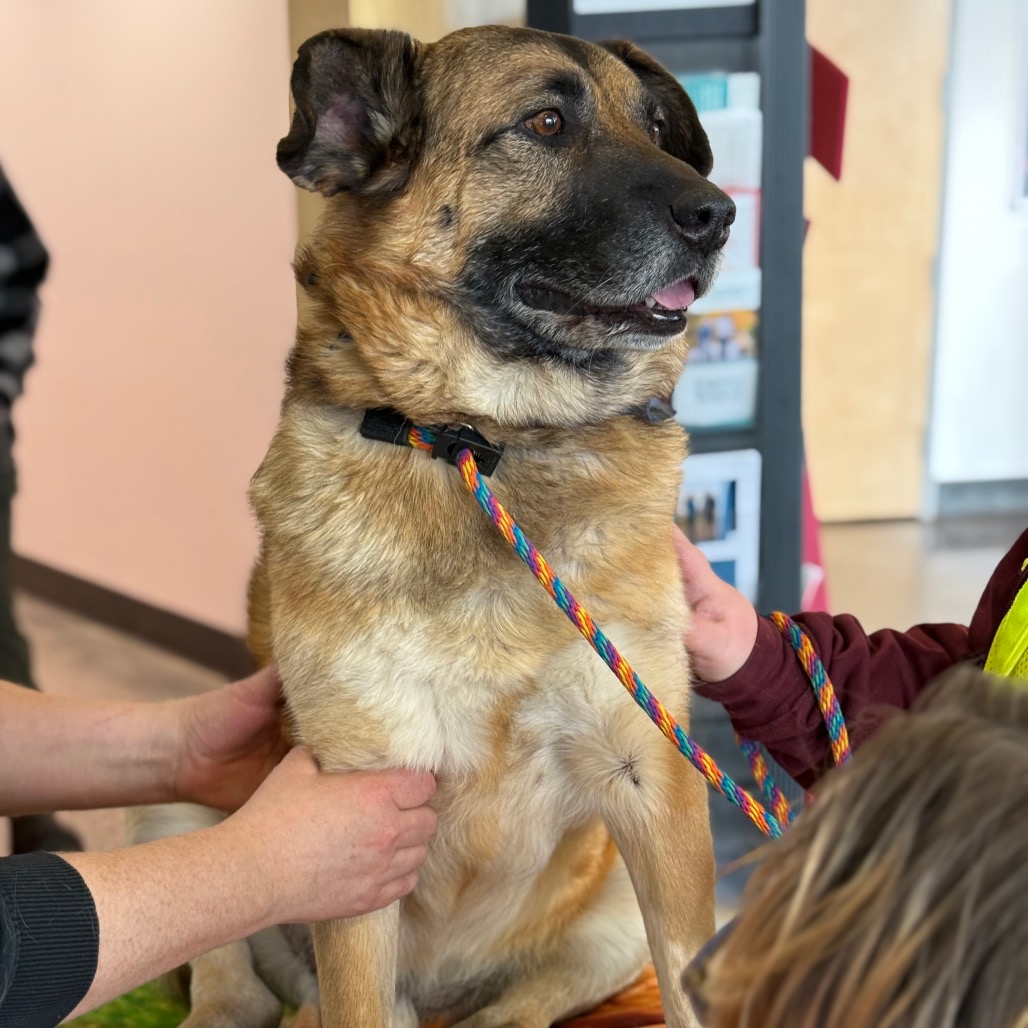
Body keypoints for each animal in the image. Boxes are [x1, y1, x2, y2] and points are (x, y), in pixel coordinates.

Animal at [144, 23, 735, 1028]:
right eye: (545, 124)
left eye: (658, 127)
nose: (722, 213)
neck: (487, 441)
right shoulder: (360, 809)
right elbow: (351, 1002)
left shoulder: (655, 786)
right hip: (176, 812)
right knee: (236, 988)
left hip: (615, 906)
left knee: (522, 1007)